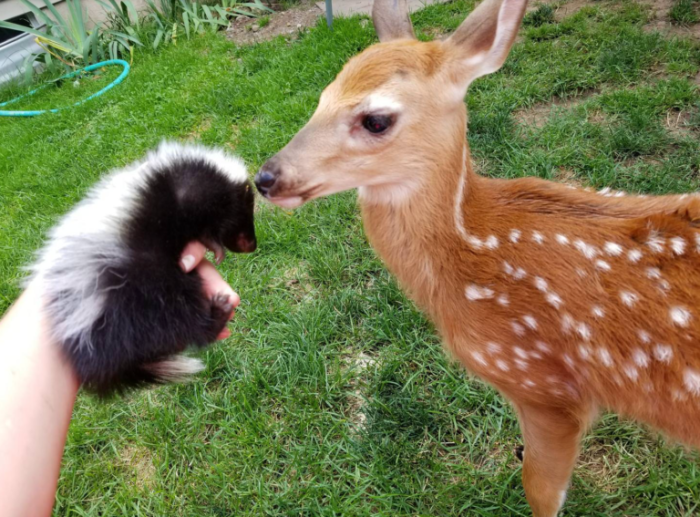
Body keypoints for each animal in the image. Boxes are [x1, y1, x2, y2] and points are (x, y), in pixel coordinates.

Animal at [253, 0, 700, 515]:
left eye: (376, 119)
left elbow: (539, 488)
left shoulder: (545, 387)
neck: (477, 247)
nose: (266, 178)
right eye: (322, 96)